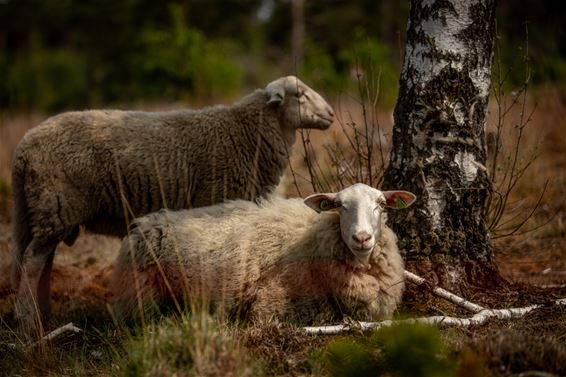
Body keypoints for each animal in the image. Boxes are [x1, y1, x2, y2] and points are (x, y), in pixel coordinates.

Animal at [12, 75, 338, 330]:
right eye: (299, 94)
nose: (332, 114)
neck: (246, 133)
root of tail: (22, 150)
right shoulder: (218, 201)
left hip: (42, 213)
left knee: (42, 261)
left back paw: (45, 316)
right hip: (56, 206)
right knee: (32, 261)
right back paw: (30, 321)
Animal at [111, 182, 420, 324]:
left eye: (381, 204)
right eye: (339, 205)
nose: (362, 237)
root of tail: (144, 223)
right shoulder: (271, 304)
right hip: (140, 296)